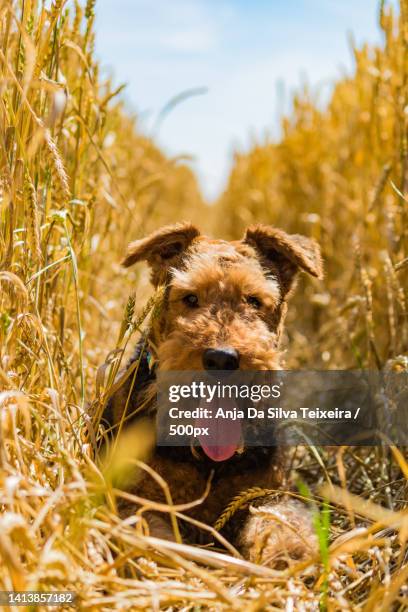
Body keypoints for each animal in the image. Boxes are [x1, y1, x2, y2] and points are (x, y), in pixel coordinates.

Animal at [103, 221, 324, 568]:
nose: (221, 358)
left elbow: (277, 524)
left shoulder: (272, 495)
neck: (209, 464)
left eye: (254, 300)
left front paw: (280, 557)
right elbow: (153, 532)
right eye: (190, 297)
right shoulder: (134, 498)